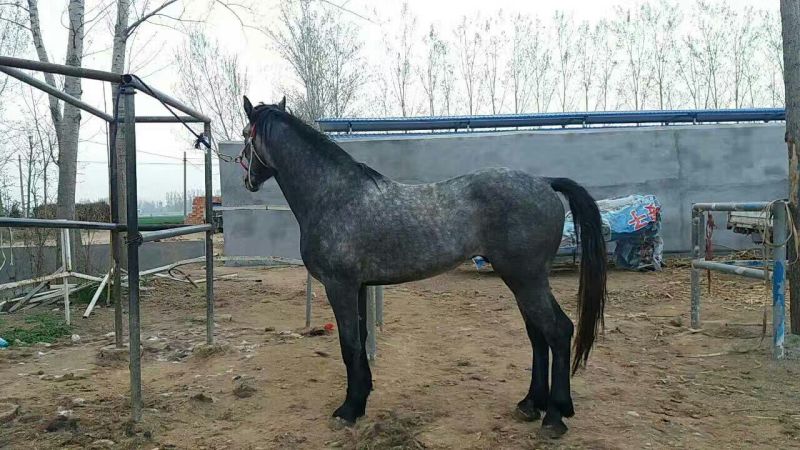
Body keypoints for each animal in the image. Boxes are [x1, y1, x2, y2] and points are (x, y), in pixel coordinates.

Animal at [237, 96, 607, 438]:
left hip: (527, 279)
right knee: (537, 335)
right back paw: (530, 404)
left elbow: (349, 344)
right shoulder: (358, 287)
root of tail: (544, 182)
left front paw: (348, 410)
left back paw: (555, 416)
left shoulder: (339, 286)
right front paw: (362, 398)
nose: (249, 180)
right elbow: (361, 339)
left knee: (558, 331)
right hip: (522, 280)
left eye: (244, 134)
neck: (335, 197)